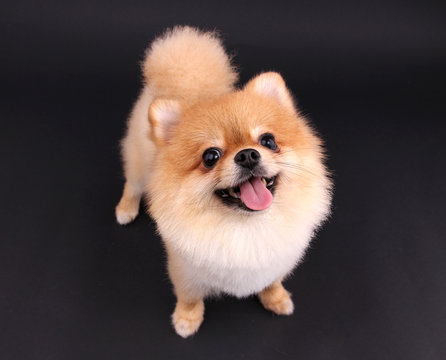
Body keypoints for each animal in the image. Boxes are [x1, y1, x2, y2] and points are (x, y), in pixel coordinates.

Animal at [115, 26, 332, 338]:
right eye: (210, 156)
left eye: (268, 141)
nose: (248, 155)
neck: (247, 227)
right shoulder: (185, 271)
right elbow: (189, 297)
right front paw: (186, 320)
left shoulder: (277, 260)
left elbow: (272, 281)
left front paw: (276, 298)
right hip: (139, 163)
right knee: (132, 185)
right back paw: (125, 209)